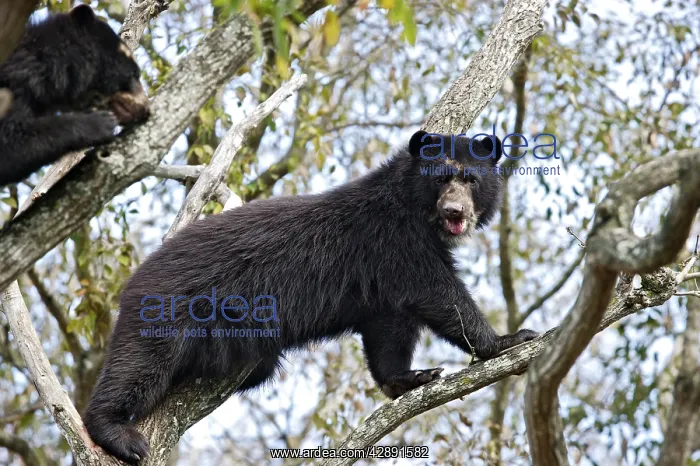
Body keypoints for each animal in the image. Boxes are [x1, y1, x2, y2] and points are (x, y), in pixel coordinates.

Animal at [83, 130, 539, 464]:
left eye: (471, 179)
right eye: (441, 178)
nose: (455, 212)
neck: (416, 213)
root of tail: (135, 278)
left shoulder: (383, 284)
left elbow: (390, 328)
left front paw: (411, 377)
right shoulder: (396, 244)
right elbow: (440, 294)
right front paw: (507, 340)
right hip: (167, 309)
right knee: (139, 366)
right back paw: (119, 434)